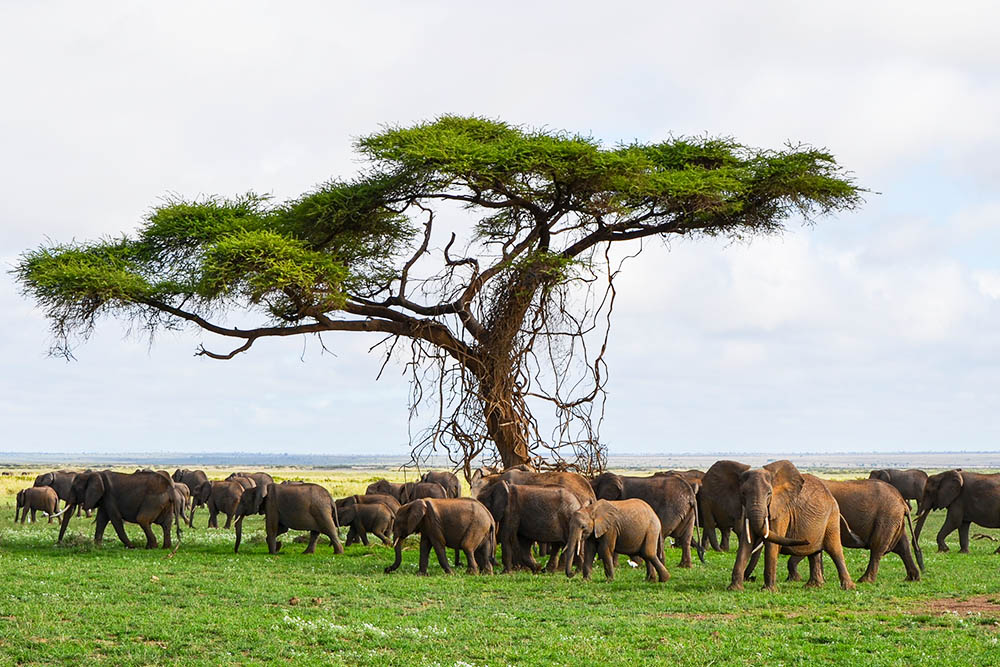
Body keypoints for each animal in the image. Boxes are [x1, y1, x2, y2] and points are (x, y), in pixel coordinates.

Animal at [724, 462, 856, 592]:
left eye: (769, 493)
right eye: (743, 493)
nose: (751, 578)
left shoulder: (781, 510)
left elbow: (772, 545)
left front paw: (768, 591)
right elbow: (746, 543)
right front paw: (734, 589)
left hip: (832, 517)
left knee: (834, 549)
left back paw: (848, 588)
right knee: (814, 552)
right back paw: (812, 586)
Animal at [788, 480, 920, 584]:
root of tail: (902, 501)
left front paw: (794, 579)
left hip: (887, 518)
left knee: (877, 548)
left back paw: (864, 580)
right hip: (894, 520)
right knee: (903, 546)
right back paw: (912, 578)